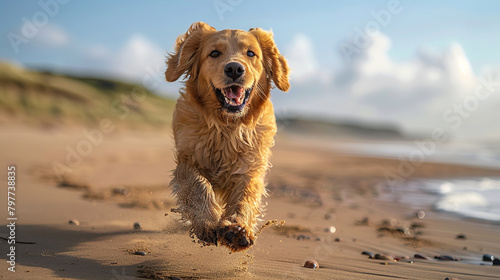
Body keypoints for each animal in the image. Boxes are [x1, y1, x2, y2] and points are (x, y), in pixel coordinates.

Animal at [165, 21, 290, 252]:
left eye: (251, 53)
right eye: (214, 53)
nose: (234, 68)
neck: (226, 127)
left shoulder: (251, 167)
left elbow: (245, 197)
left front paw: (237, 228)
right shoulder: (187, 160)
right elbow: (198, 186)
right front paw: (206, 223)